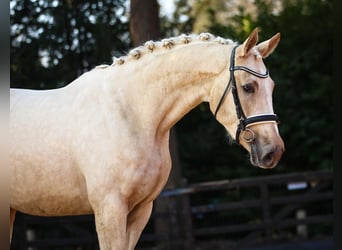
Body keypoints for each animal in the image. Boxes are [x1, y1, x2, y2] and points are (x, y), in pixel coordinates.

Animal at [10, 28, 284, 249]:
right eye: (248, 87)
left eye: (272, 86)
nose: (273, 151)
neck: (131, 114)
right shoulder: (109, 210)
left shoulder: (141, 210)